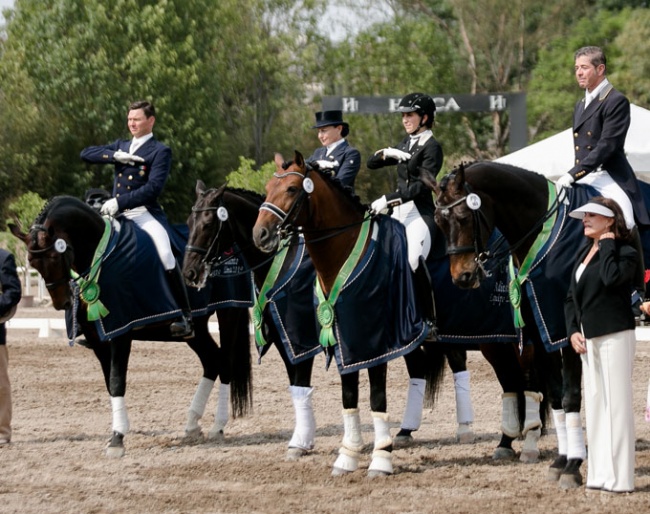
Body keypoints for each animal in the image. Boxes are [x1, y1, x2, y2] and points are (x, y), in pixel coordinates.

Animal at [11, 196, 253, 456]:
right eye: (32, 262)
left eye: (56, 256)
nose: (62, 302)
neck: (100, 255)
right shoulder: (98, 340)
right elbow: (110, 383)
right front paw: (117, 433)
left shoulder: (121, 330)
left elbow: (117, 380)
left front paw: (117, 438)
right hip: (195, 331)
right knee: (211, 361)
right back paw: (191, 424)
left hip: (229, 312)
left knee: (225, 364)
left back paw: (218, 426)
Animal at [182, 181, 322, 460]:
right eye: (189, 223)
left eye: (209, 224)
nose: (189, 272)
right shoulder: (282, 341)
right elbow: (296, 385)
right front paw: (302, 440)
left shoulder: (302, 341)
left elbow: (301, 382)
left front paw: (300, 443)